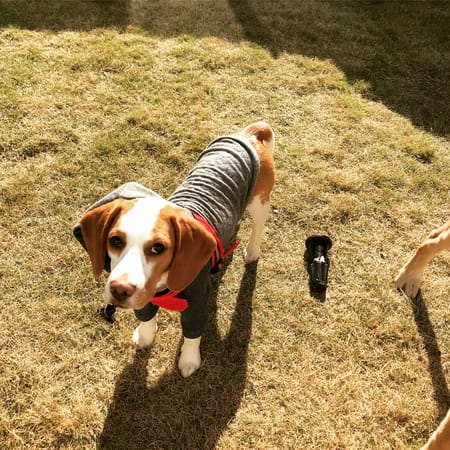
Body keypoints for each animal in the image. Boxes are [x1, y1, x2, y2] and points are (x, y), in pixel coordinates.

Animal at [73, 122, 275, 377]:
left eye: (158, 248)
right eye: (115, 241)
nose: (119, 290)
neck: (162, 285)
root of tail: (249, 135)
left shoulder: (197, 302)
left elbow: (192, 334)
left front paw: (189, 360)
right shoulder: (145, 297)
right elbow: (146, 317)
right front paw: (145, 335)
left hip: (259, 203)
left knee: (258, 227)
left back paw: (252, 251)